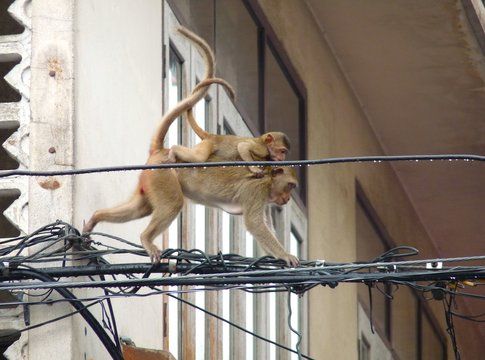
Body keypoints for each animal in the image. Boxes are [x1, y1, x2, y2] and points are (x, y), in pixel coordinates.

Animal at [84, 26, 300, 266]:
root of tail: (160, 151)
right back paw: (146, 237)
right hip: (163, 177)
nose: (287, 199)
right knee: (173, 203)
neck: (270, 176)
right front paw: (285, 255)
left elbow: (266, 223)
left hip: (150, 180)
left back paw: (96, 218)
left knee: (138, 208)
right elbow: (255, 223)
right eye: (290, 186)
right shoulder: (257, 189)